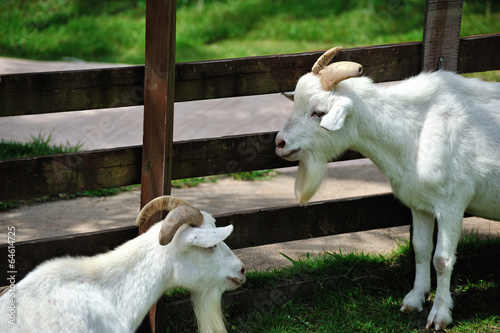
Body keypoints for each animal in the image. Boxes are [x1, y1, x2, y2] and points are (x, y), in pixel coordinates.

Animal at [276, 46, 498, 330]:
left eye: (318, 112)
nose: (280, 143)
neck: (415, 129)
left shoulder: (451, 204)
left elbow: (441, 259)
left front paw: (440, 314)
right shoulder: (420, 203)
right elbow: (421, 248)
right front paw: (414, 300)